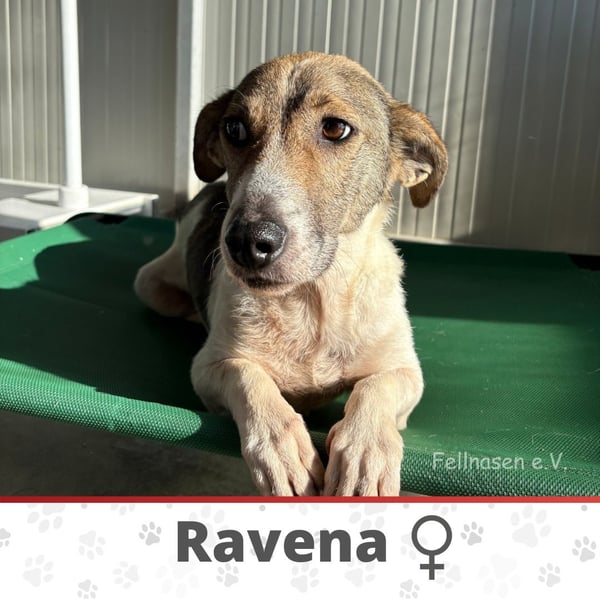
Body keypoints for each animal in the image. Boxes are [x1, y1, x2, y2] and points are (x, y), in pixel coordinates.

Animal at [134, 52, 448, 496]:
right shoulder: (208, 369)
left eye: (335, 128)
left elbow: (376, 387)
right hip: (150, 283)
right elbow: (246, 374)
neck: (312, 298)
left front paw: (365, 451)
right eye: (234, 128)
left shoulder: (404, 369)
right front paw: (283, 449)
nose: (247, 242)